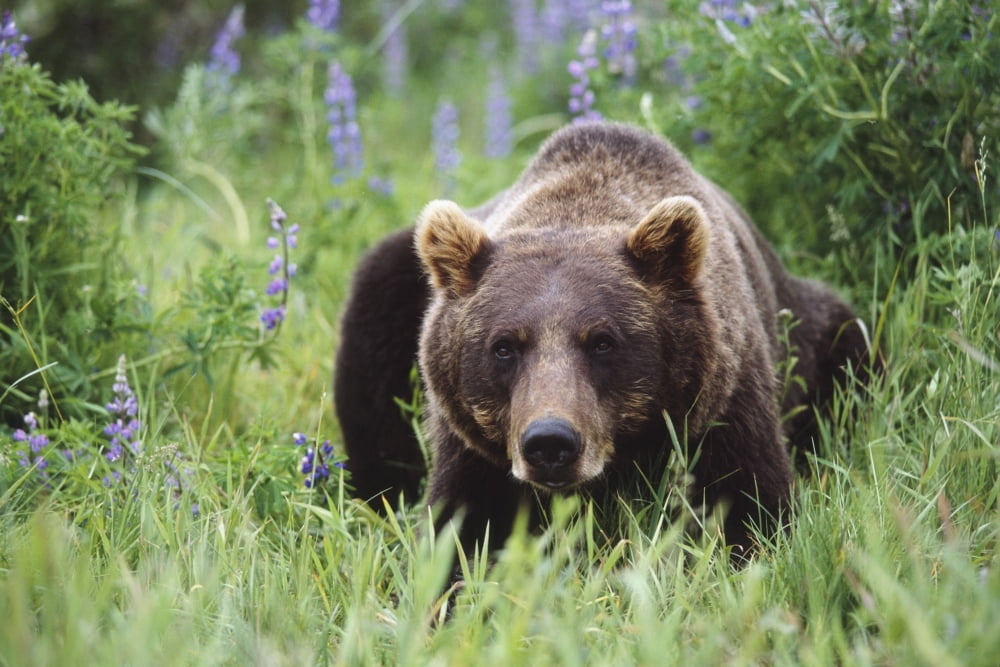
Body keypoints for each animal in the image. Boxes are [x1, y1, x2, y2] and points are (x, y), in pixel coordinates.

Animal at [334, 121, 870, 555]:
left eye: (603, 341)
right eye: (503, 345)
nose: (550, 442)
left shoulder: (724, 398)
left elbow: (752, 505)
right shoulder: (471, 444)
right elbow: (459, 530)